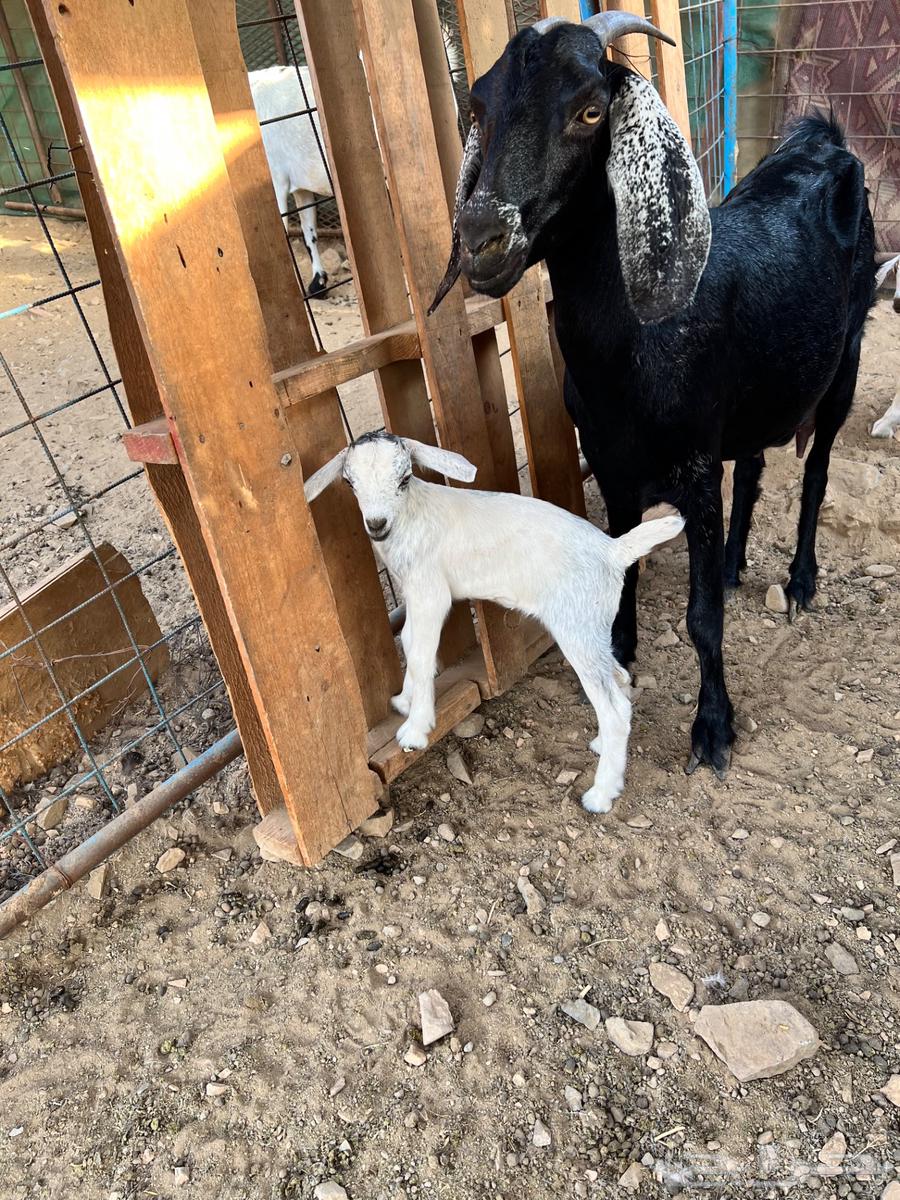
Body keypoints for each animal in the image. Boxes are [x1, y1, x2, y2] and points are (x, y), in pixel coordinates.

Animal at [304, 432, 684, 814]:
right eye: (350, 482)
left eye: (405, 478)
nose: (377, 524)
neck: (412, 516)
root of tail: (614, 551)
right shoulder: (412, 591)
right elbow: (410, 641)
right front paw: (405, 700)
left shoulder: (430, 592)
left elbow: (423, 653)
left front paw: (415, 729)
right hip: (593, 629)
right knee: (619, 678)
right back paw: (602, 746)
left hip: (576, 625)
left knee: (615, 708)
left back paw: (601, 794)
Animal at [430, 11, 874, 779]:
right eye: (478, 108)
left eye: (590, 111)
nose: (483, 237)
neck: (631, 352)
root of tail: (827, 140)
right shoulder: (610, 462)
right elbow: (623, 568)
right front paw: (620, 651)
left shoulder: (693, 466)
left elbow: (702, 620)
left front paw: (713, 728)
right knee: (753, 466)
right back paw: (731, 562)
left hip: (844, 359)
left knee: (816, 473)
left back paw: (800, 582)